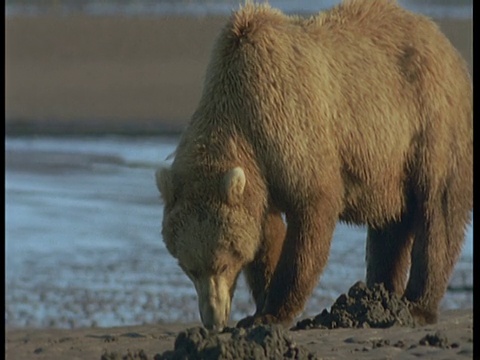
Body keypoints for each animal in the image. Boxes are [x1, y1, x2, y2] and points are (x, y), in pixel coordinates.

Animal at [155, 0, 472, 330]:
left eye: (223, 262)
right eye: (189, 267)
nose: (213, 320)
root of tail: (440, 37)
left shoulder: (290, 125)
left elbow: (311, 215)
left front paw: (272, 311)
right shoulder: (263, 174)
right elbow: (266, 233)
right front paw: (259, 305)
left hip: (429, 121)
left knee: (437, 209)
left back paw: (417, 305)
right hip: (388, 166)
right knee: (390, 226)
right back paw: (378, 295)